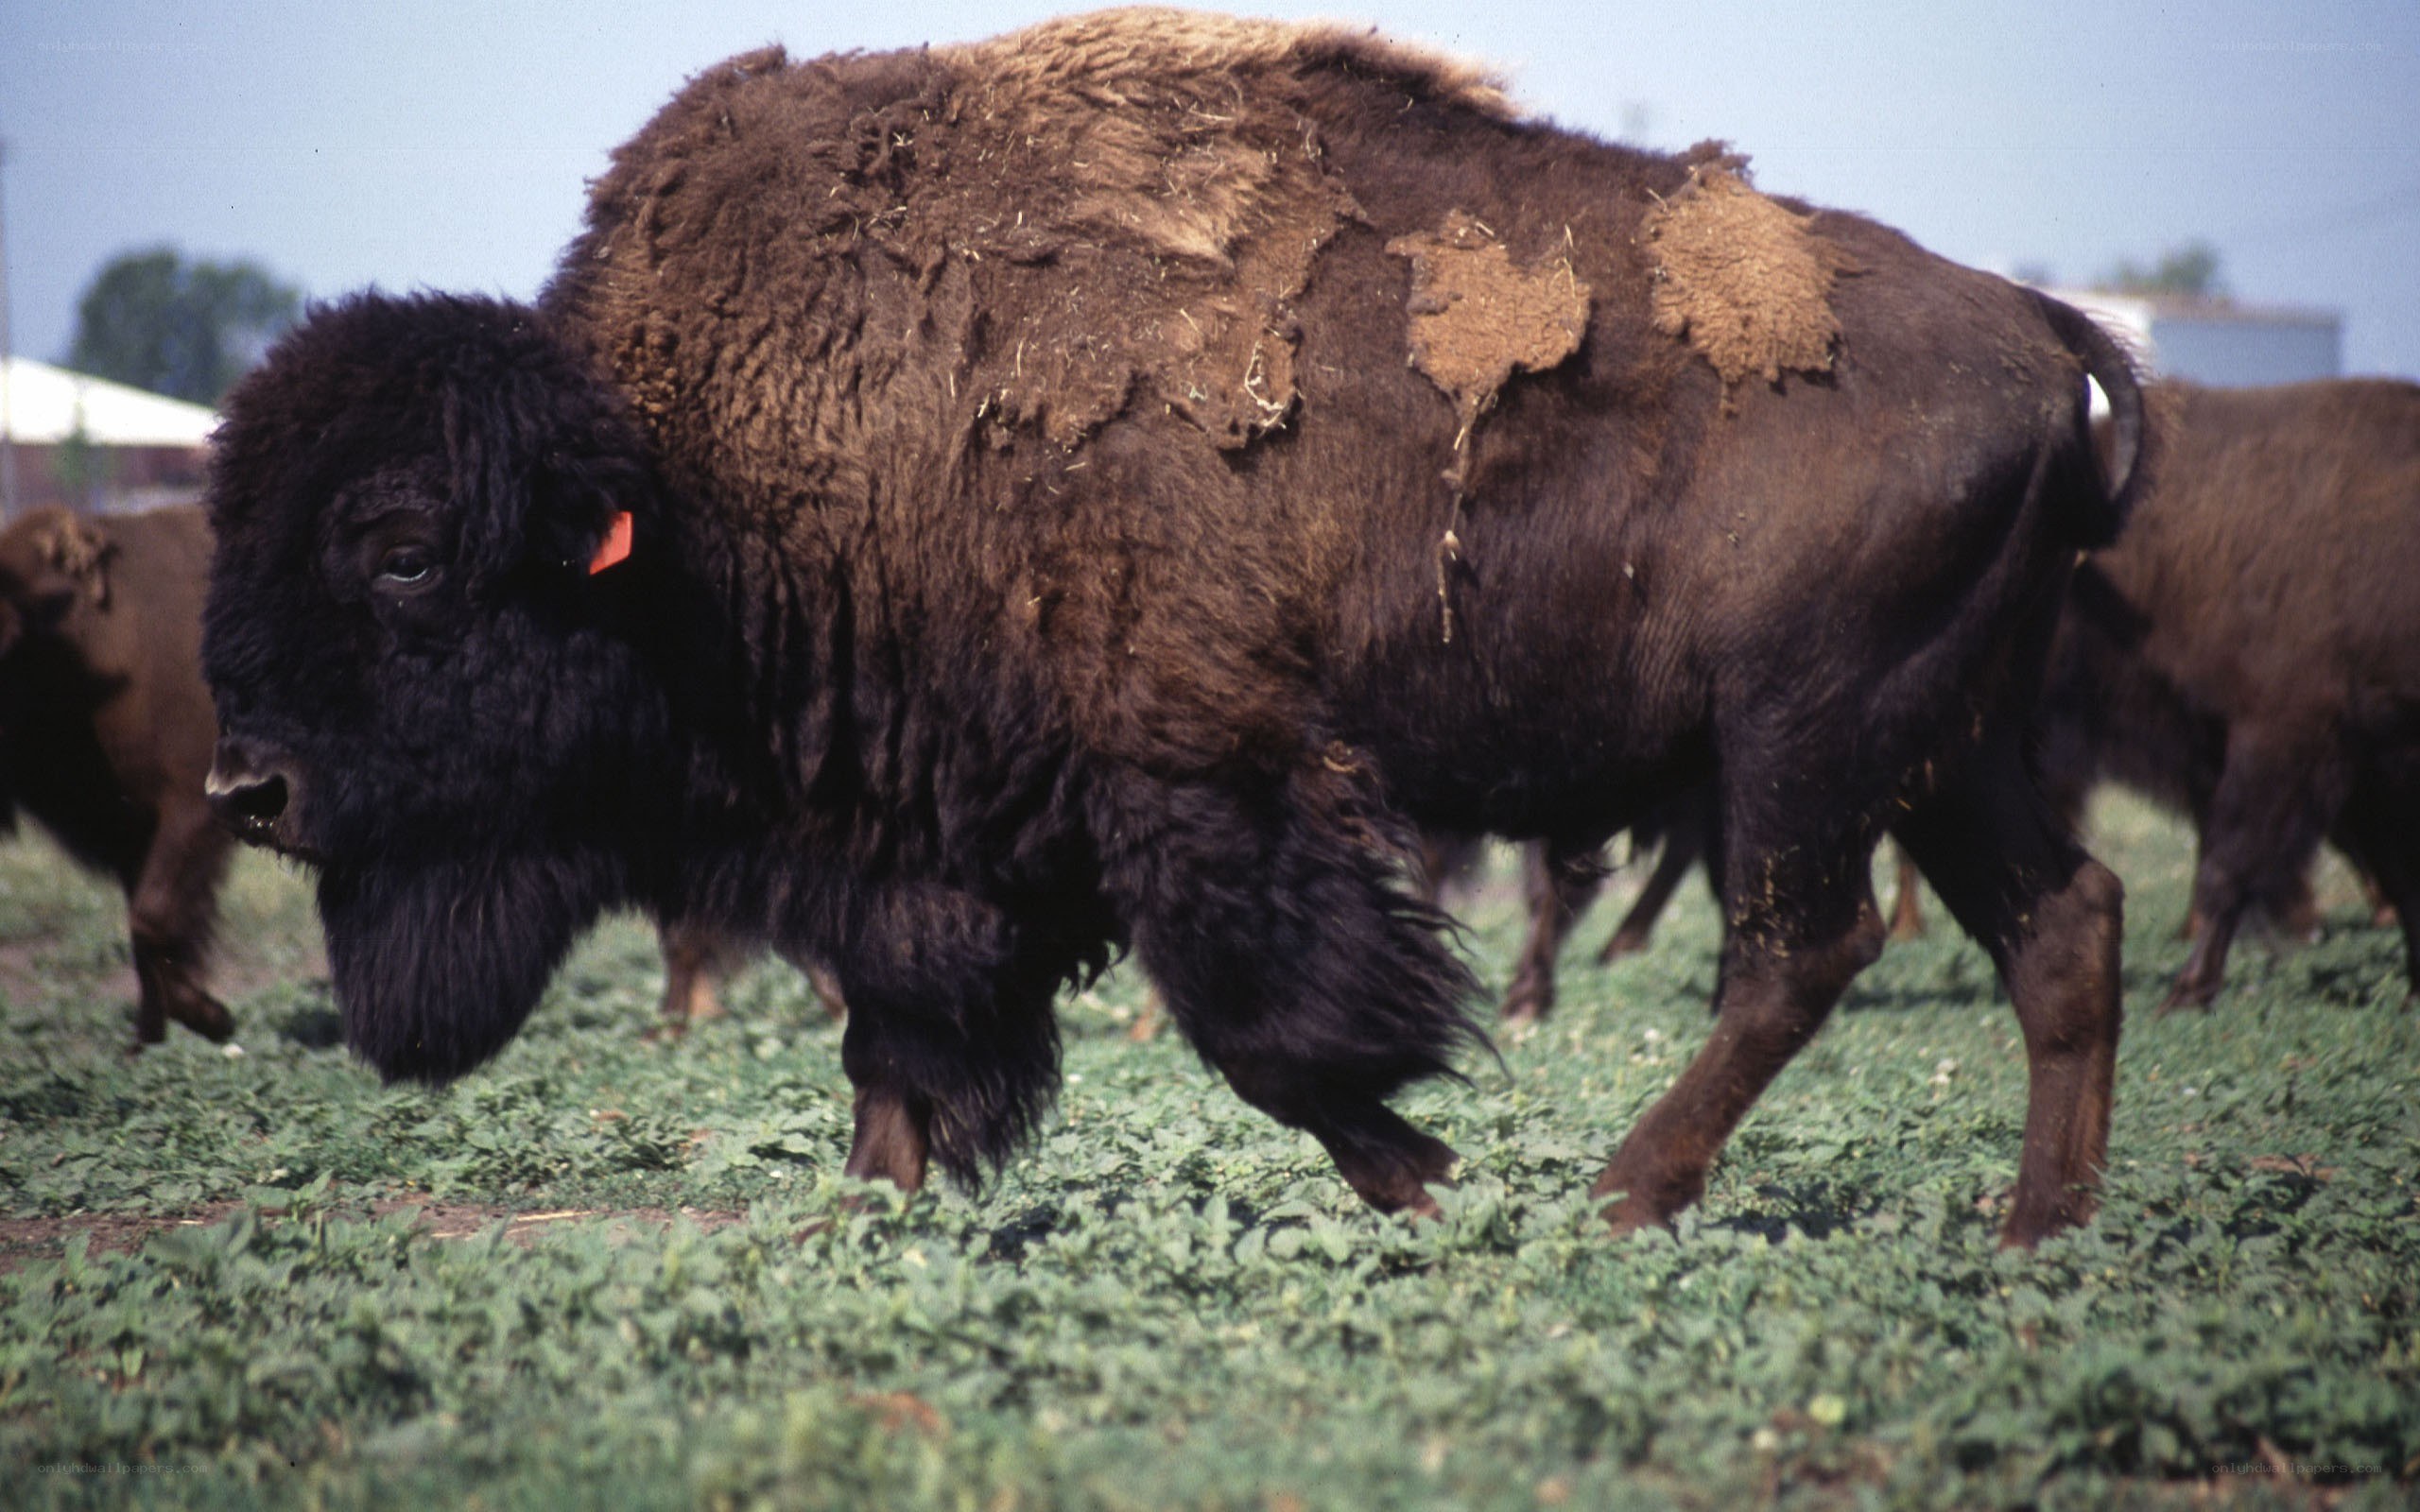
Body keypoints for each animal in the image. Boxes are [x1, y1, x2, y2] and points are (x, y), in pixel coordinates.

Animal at [0, 504, 238, 1048]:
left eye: (7, 647)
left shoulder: (193, 809)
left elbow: (152, 916)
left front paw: (211, 1018)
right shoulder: (129, 826)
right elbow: (145, 925)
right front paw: (150, 1036)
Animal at [201, 11, 2147, 1245]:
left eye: (400, 552)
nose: (247, 789)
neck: (681, 482)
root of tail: (2043, 329)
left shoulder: (1194, 779)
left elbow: (1273, 1030)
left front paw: (1437, 1184)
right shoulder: (922, 851)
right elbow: (898, 1053)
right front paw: (870, 1224)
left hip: (1806, 745)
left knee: (1802, 952)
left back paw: (1619, 1197)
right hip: (1941, 748)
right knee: (2060, 926)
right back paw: (2031, 1234)